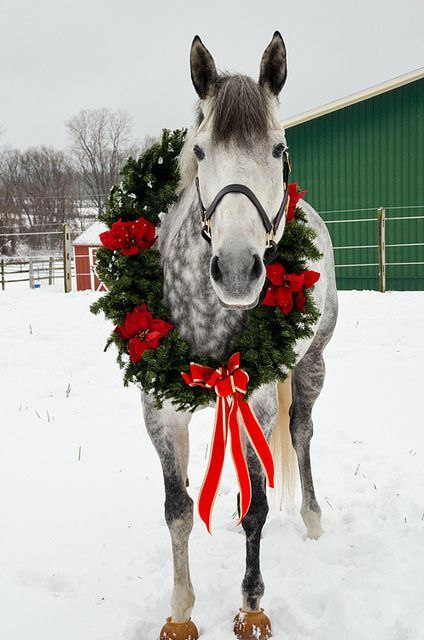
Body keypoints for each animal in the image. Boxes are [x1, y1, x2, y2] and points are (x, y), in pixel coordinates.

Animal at [142, 31, 338, 640]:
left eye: (278, 149)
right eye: (201, 151)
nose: (234, 270)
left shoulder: (257, 396)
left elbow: (257, 508)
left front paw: (251, 607)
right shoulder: (160, 410)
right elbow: (177, 510)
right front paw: (181, 611)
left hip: (311, 367)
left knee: (301, 435)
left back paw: (313, 520)